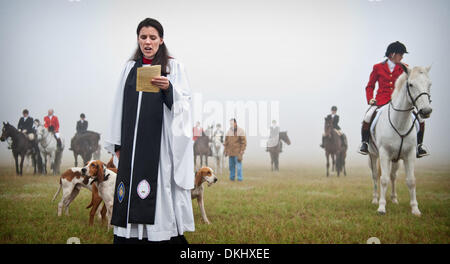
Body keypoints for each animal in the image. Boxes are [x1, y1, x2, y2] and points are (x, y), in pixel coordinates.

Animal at [368, 65, 434, 216]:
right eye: (411, 84)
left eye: (429, 84)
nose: (426, 111)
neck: (400, 122)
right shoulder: (384, 154)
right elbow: (383, 179)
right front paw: (381, 207)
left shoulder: (409, 154)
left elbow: (411, 181)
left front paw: (415, 209)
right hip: (373, 155)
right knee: (375, 176)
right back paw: (375, 199)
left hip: (396, 159)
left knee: (393, 176)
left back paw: (394, 199)